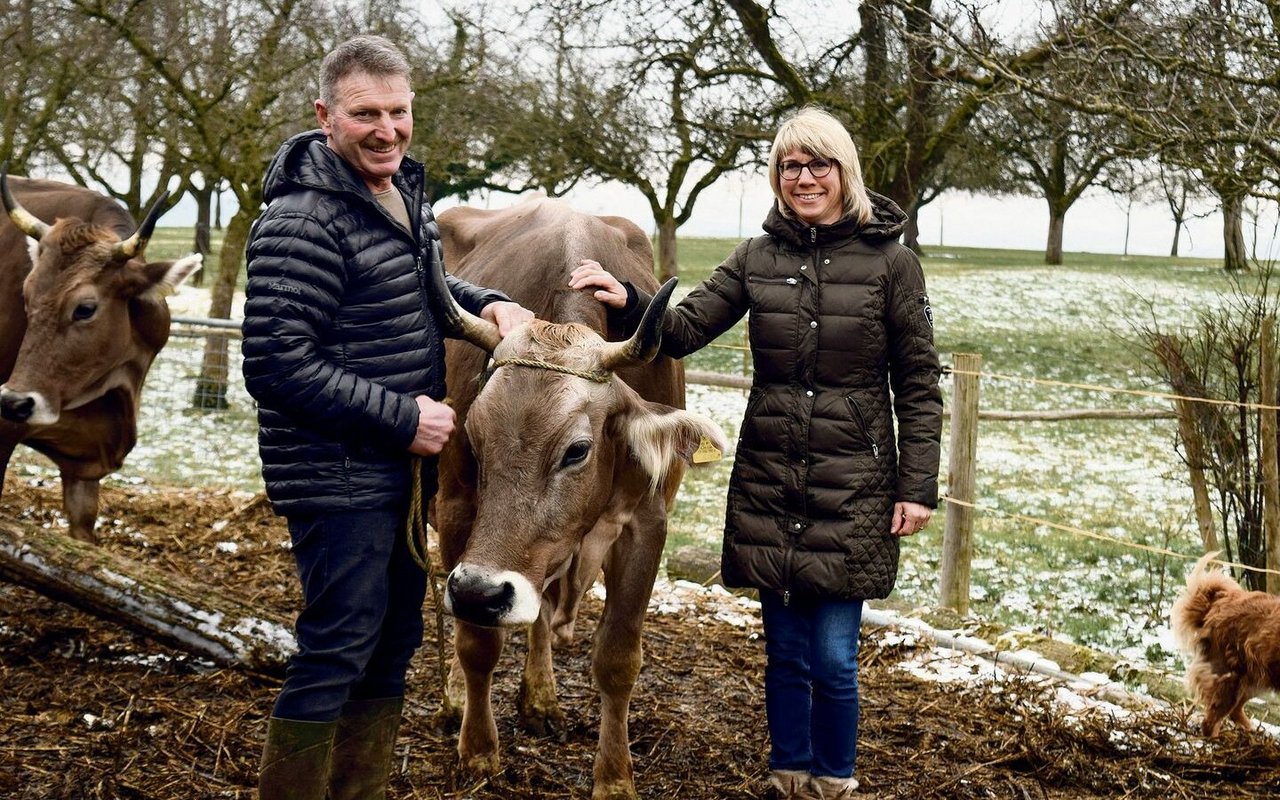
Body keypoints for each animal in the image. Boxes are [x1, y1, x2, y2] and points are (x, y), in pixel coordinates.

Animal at [432, 198, 727, 798]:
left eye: (577, 450)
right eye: (473, 435)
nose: (479, 591)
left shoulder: (645, 523)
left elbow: (617, 657)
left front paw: (614, 778)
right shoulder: (456, 511)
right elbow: (476, 643)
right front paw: (478, 749)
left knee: (541, 609)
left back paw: (540, 698)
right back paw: (458, 698)